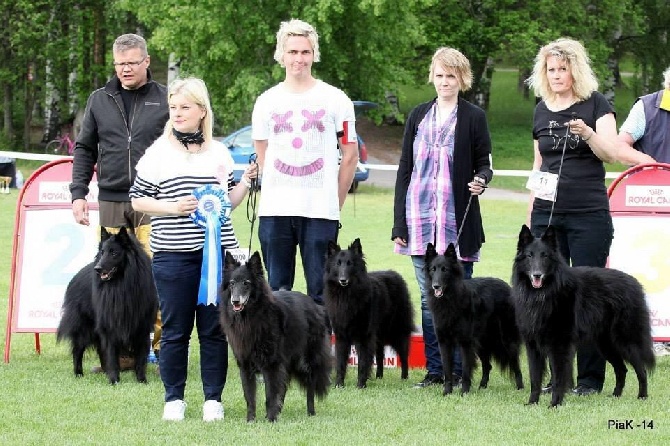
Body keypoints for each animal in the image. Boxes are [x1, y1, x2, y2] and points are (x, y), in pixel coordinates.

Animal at [56, 225, 159, 386]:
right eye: (102, 252)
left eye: (114, 253)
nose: (97, 269)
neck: (121, 286)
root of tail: (76, 276)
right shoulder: (110, 327)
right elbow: (111, 354)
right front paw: (114, 380)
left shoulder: (141, 328)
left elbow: (141, 358)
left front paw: (141, 380)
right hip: (84, 327)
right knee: (77, 350)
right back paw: (78, 373)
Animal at [220, 251, 334, 422]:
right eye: (232, 283)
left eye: (246, 283)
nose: (235, 301)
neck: (251, 317)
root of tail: (315, 306)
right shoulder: (245, 366)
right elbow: (250, 397)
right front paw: (251, 420)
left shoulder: (271, 365)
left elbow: (270, 395)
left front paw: (270, 419)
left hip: (307, 360)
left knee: (310, 386)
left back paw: (310, 412)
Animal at [324, 239, 414, 388]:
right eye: (338, 263)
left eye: (350, 263)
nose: (343, 280)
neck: (347, 294)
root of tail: (396, 275)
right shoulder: (341, 336)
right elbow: (341, 363)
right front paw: (339, 384)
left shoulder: (364, 336)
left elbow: (363, 362)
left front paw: (361, 385)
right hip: (379, 334)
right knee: (380, 354)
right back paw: (379, 376)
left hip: (397, 331)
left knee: (404, 355)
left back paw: (404, 378)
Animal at [428, 242, 528, 396]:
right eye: (433, 269)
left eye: (445, 270)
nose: (436, 286)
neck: (449, 299)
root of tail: (507, 287)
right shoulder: (444, 342)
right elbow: (447, 370)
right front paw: (447, 392)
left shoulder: (465, 343)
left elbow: (465, 370)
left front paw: (464, 392)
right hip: (481, 343)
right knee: (488, 365)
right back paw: (482, 386)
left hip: (505, 340)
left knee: (515, 364)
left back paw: (520, 387)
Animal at [516, 226, 656, 408]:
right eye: (529, 256)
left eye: (545, 256)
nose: (537, 275)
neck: (546, 292)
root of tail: (635, 283)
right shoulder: (533, 346)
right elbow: (535, 379)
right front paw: (532, 403)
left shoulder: (559, 346)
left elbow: (559, 379)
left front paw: (555, 404)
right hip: (606, 345)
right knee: (622, 369)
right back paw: (616, 395)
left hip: (626, 342)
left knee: (642, 370)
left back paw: (642, 396)